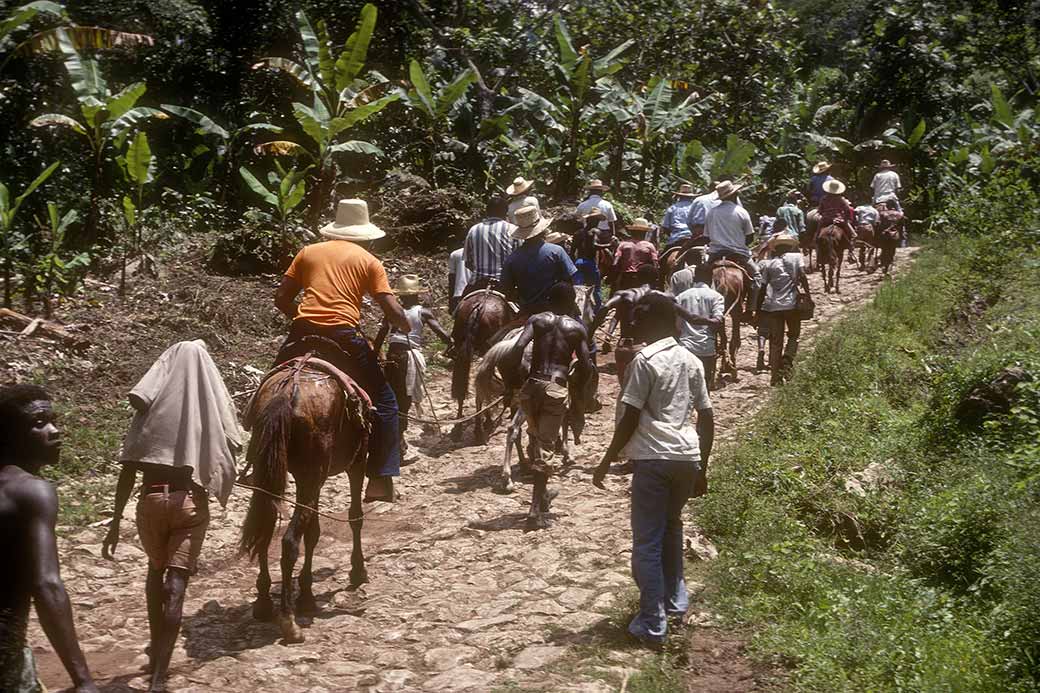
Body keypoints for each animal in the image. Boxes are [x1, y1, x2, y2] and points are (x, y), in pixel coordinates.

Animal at [239, 364, 370, 640]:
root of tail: (286, 393)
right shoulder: (356, 463)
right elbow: (355, 516)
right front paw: (357, 570)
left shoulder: (312, 482)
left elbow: (314, 532)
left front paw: (307, 594)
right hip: (312, 475)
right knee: (289, 542)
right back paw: (288, 620)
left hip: (269, 477)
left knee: (265, 531)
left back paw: (264, 602)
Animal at [449, 287, 513, 439]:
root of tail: (479, 307)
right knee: (482, 386)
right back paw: (482, 426)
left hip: (463, 347)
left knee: (463, 389)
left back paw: (459, 427)